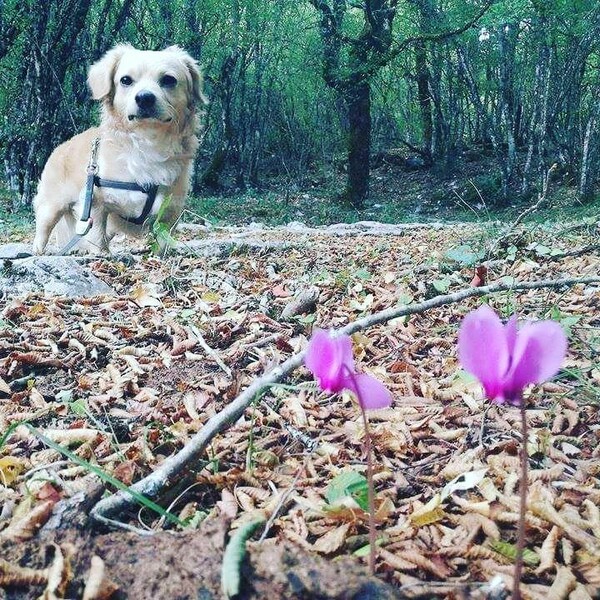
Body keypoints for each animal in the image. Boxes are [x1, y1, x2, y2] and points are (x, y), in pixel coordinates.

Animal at [32, 44, 206, 255]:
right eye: (125, 80)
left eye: (168, 80)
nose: (144, 98)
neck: (147, 144)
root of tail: (61, 147)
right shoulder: (95, 203)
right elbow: (97, 238)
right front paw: (102, 255)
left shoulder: (171, 209)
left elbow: (163, 240)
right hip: (51, 206)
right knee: (43, 231)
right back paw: (39, 252)